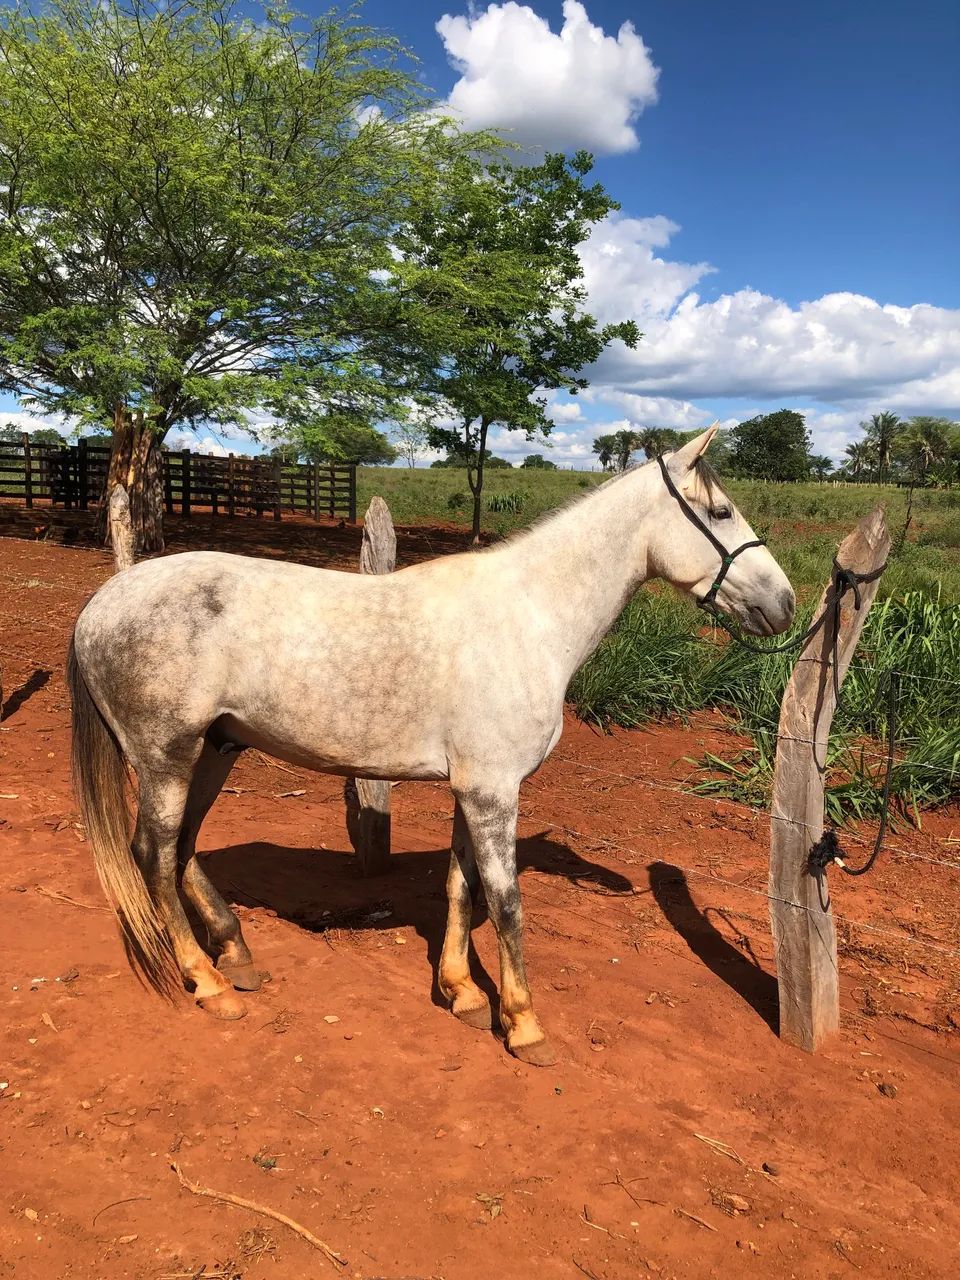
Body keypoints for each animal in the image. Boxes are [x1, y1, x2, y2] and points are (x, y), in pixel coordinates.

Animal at [67, 425, 795, 1066]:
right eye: (721, 511)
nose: (785, 604)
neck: (527, 617)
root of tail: (101, 604)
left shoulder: (472, 787)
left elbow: (459, 885)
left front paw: (462, 992)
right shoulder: (493, 790)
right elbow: (505, 902)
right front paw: (523, 1025)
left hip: (216, 749)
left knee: (182, 848)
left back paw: (236, 955)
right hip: (166, 756)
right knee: (152, 855)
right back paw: (209, 983)